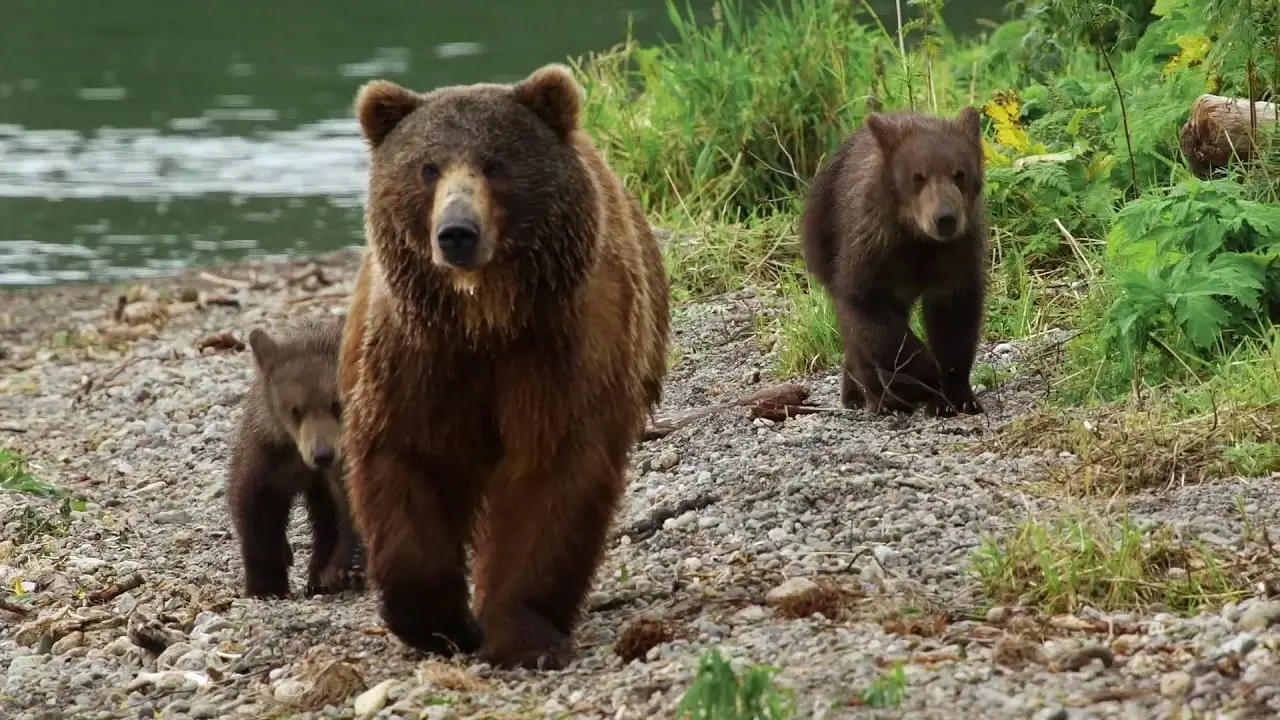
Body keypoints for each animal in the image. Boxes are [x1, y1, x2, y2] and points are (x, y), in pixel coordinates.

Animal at [226, 317, 366, 599]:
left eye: (336, 404)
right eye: (295, 410)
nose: (322, 454)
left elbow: (345, 515)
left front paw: (339, 570)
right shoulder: (268, 457)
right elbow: (255, 512)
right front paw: (267, 584)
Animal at [339, 63, 671, 671]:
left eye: (495, 163)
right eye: (427, 167)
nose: (457, 232)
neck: (486, 320)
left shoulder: (557, 351)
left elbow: (550, 477)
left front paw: (523, 635)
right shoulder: (417, 356)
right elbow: (407, 462)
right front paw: (441, 623)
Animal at [800, 106, 989, 416]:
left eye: (959, 173)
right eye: (918, 176)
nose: (945, 218)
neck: (916, 238)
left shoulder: (955, 254)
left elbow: (955, 319)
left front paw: (957, 396)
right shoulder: (872, 250)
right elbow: (874, 321)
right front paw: (924, 375)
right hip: (822, 237)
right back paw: (873, 397)